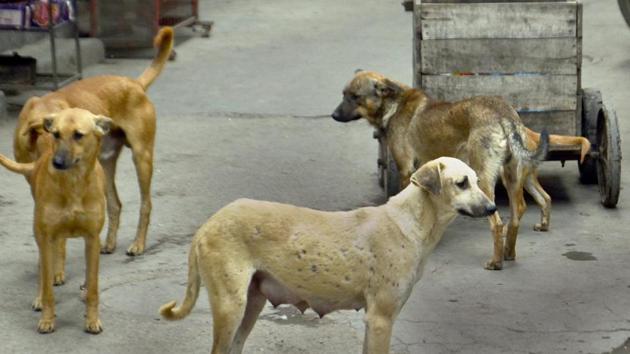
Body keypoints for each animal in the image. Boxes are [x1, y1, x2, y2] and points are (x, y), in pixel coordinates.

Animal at [0, 108, 112, 334]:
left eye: (78, 135)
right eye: (56, 134)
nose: (57, 163)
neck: (73, 182)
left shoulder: (92, 238)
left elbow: (93, 286)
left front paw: (92, 319)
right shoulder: (46, 236)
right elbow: (47, 287)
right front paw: (47, 319)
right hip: (41, 234)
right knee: (43, 269)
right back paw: (40, 295)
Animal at [12, 26, 175, 256]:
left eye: (78, 134)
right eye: (56, 135)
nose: (59, 163)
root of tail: (134, 84)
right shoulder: (36, 182)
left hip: (141, 157)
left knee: (146, 204)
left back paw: (138, 244)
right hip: (106, 163)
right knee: (115, 204)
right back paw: (109, 243)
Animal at [159, 158, 498, 354]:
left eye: (477, 180)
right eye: (461, 183)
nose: (494, 208)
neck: (413, 221)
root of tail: (208, 224)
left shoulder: (374, 322)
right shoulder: (381, 319)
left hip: (252, 302)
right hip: (231, 305)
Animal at [334, 71, 592, 272]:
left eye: (355, 97)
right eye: (343, 94)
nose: (334, 116)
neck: (393, 105)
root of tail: (504, 114)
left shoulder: (406, 170)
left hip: (485, 179)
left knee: (498, 222)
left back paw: (496, 262)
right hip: (515, 175)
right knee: (527, 206)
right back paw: (510, 251)